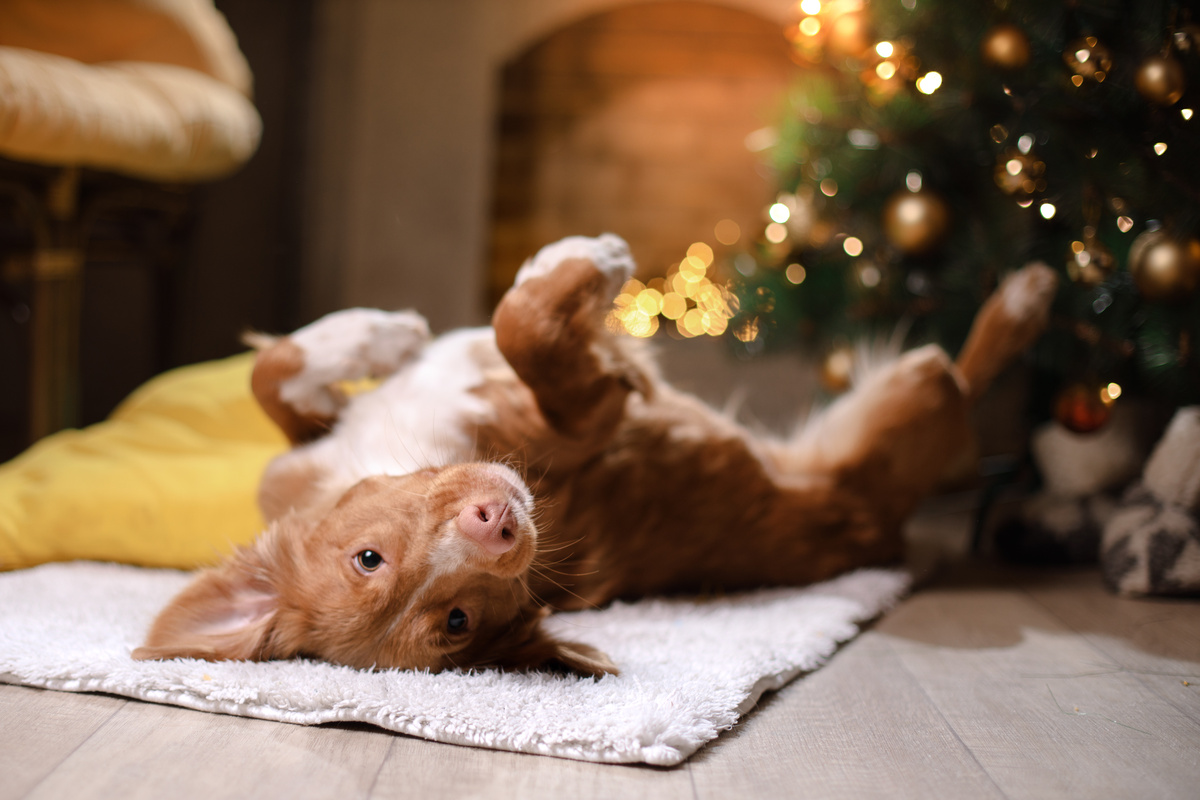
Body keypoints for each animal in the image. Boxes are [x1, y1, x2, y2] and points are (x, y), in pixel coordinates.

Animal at [133, 236, 1060, 676]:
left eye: (369, 557)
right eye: (456, 621)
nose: (499, 524)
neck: (416, 443)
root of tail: (884, 532)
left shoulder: (300, 459)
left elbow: (270, 372)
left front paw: (377, 334)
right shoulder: (592, 414)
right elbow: (523, 323)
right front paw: (594, 261)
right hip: (905, 404)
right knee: (958, 381)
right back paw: (1028, 294)